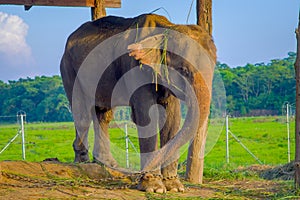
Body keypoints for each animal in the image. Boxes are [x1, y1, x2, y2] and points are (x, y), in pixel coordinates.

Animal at [60, 13, 216, 192]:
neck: (166, 28)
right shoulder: (134, 69)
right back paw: (82, 161)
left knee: (103, 114)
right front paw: (154, 187)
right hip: (69, 69)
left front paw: (174, 187)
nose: (140, 174)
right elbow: (147, 117)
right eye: (183, 70)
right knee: (82, 114)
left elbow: (172, 119)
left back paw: (107, 163)